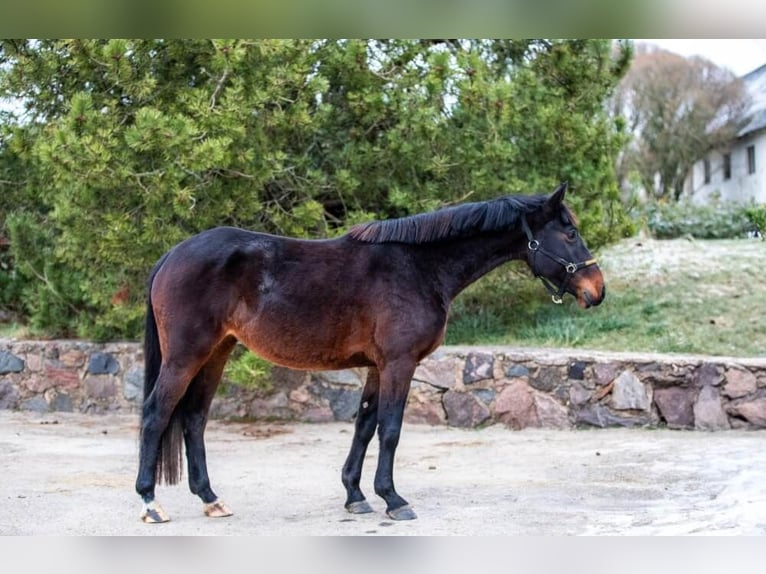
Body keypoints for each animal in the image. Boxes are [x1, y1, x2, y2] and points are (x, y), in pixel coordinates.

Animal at [136, 182, 608, 524]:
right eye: (569, 232)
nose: (597, 290)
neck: (419, 267)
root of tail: (171, 255)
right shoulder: (399, 363)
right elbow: (390, 429)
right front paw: (393, 499)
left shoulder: (378, 367)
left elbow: (364, 425)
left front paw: (355, 494)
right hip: (186, 355)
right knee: (157, 413)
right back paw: (150, 502)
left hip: (216, 353)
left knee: (194, 419)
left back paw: (210, 498)